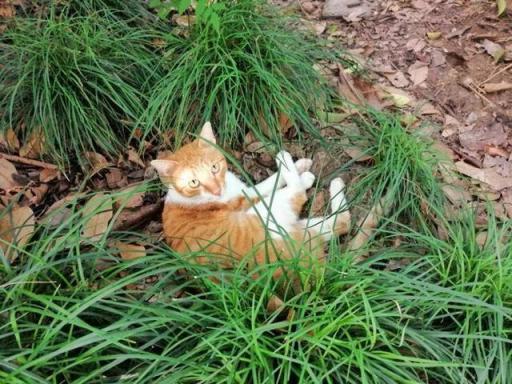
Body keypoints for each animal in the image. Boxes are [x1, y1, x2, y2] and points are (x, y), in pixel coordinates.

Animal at [152, 123, 350, 282]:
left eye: (214, 168)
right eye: (194, 183)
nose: (217, 191)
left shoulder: (244, 191)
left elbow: (268, 182)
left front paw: (300, 166)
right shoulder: (245, 199)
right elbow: (267, 186)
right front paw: (301, 174)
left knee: (342, 223)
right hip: (267, 214)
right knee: (300, 195)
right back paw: (287, 161)